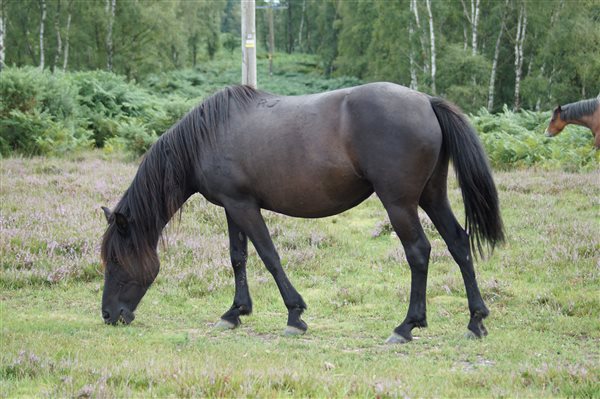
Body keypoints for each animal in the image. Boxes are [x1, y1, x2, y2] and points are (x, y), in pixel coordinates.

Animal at [101, 83, 504, 344]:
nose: (108, 315)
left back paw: (406, 326)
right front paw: (234, 313)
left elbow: (269, 256)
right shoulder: (232, 207)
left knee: (419, 252)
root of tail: (426, 101)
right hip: (432, 197)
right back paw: (476, 321)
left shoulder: (245, 206)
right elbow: (237, 257)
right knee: (458, 243)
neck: (207, 136)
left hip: (399, 203)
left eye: (116, 261)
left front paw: (295, 315)